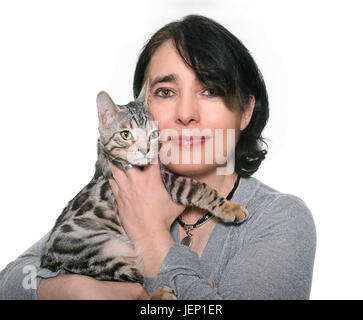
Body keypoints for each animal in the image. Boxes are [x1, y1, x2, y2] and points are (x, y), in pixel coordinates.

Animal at [40, 86, 250, 298]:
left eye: (153, 134)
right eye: (126, 134)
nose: (146, 149)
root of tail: (47, 259)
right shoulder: (171, 183)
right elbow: (201, 188)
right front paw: (231, 208)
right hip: (109, 251)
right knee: (135, 283)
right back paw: (165, 293)